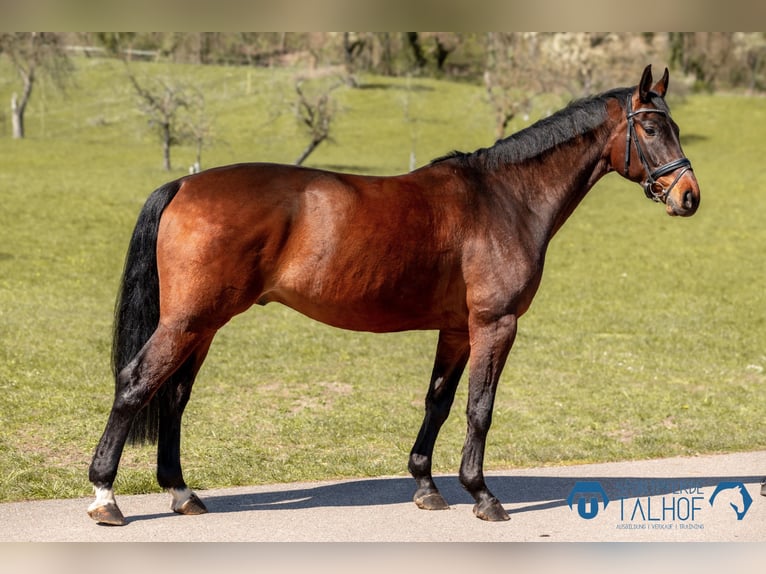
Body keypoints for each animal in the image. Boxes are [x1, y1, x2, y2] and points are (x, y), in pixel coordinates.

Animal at [88, 65, 700, 526]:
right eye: (650, 128)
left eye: (673, 125)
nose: (689, 196)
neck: (504, 198)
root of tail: (184, 183)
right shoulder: (495, 323)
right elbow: (480, 408)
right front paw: (482, 494)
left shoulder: (456, 328)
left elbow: (439, 402)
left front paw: (427, 485)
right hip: (189, 321)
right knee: (136, 384)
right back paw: (105, 497)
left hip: (205, 324)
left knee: (173, 395)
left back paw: (181, 492)